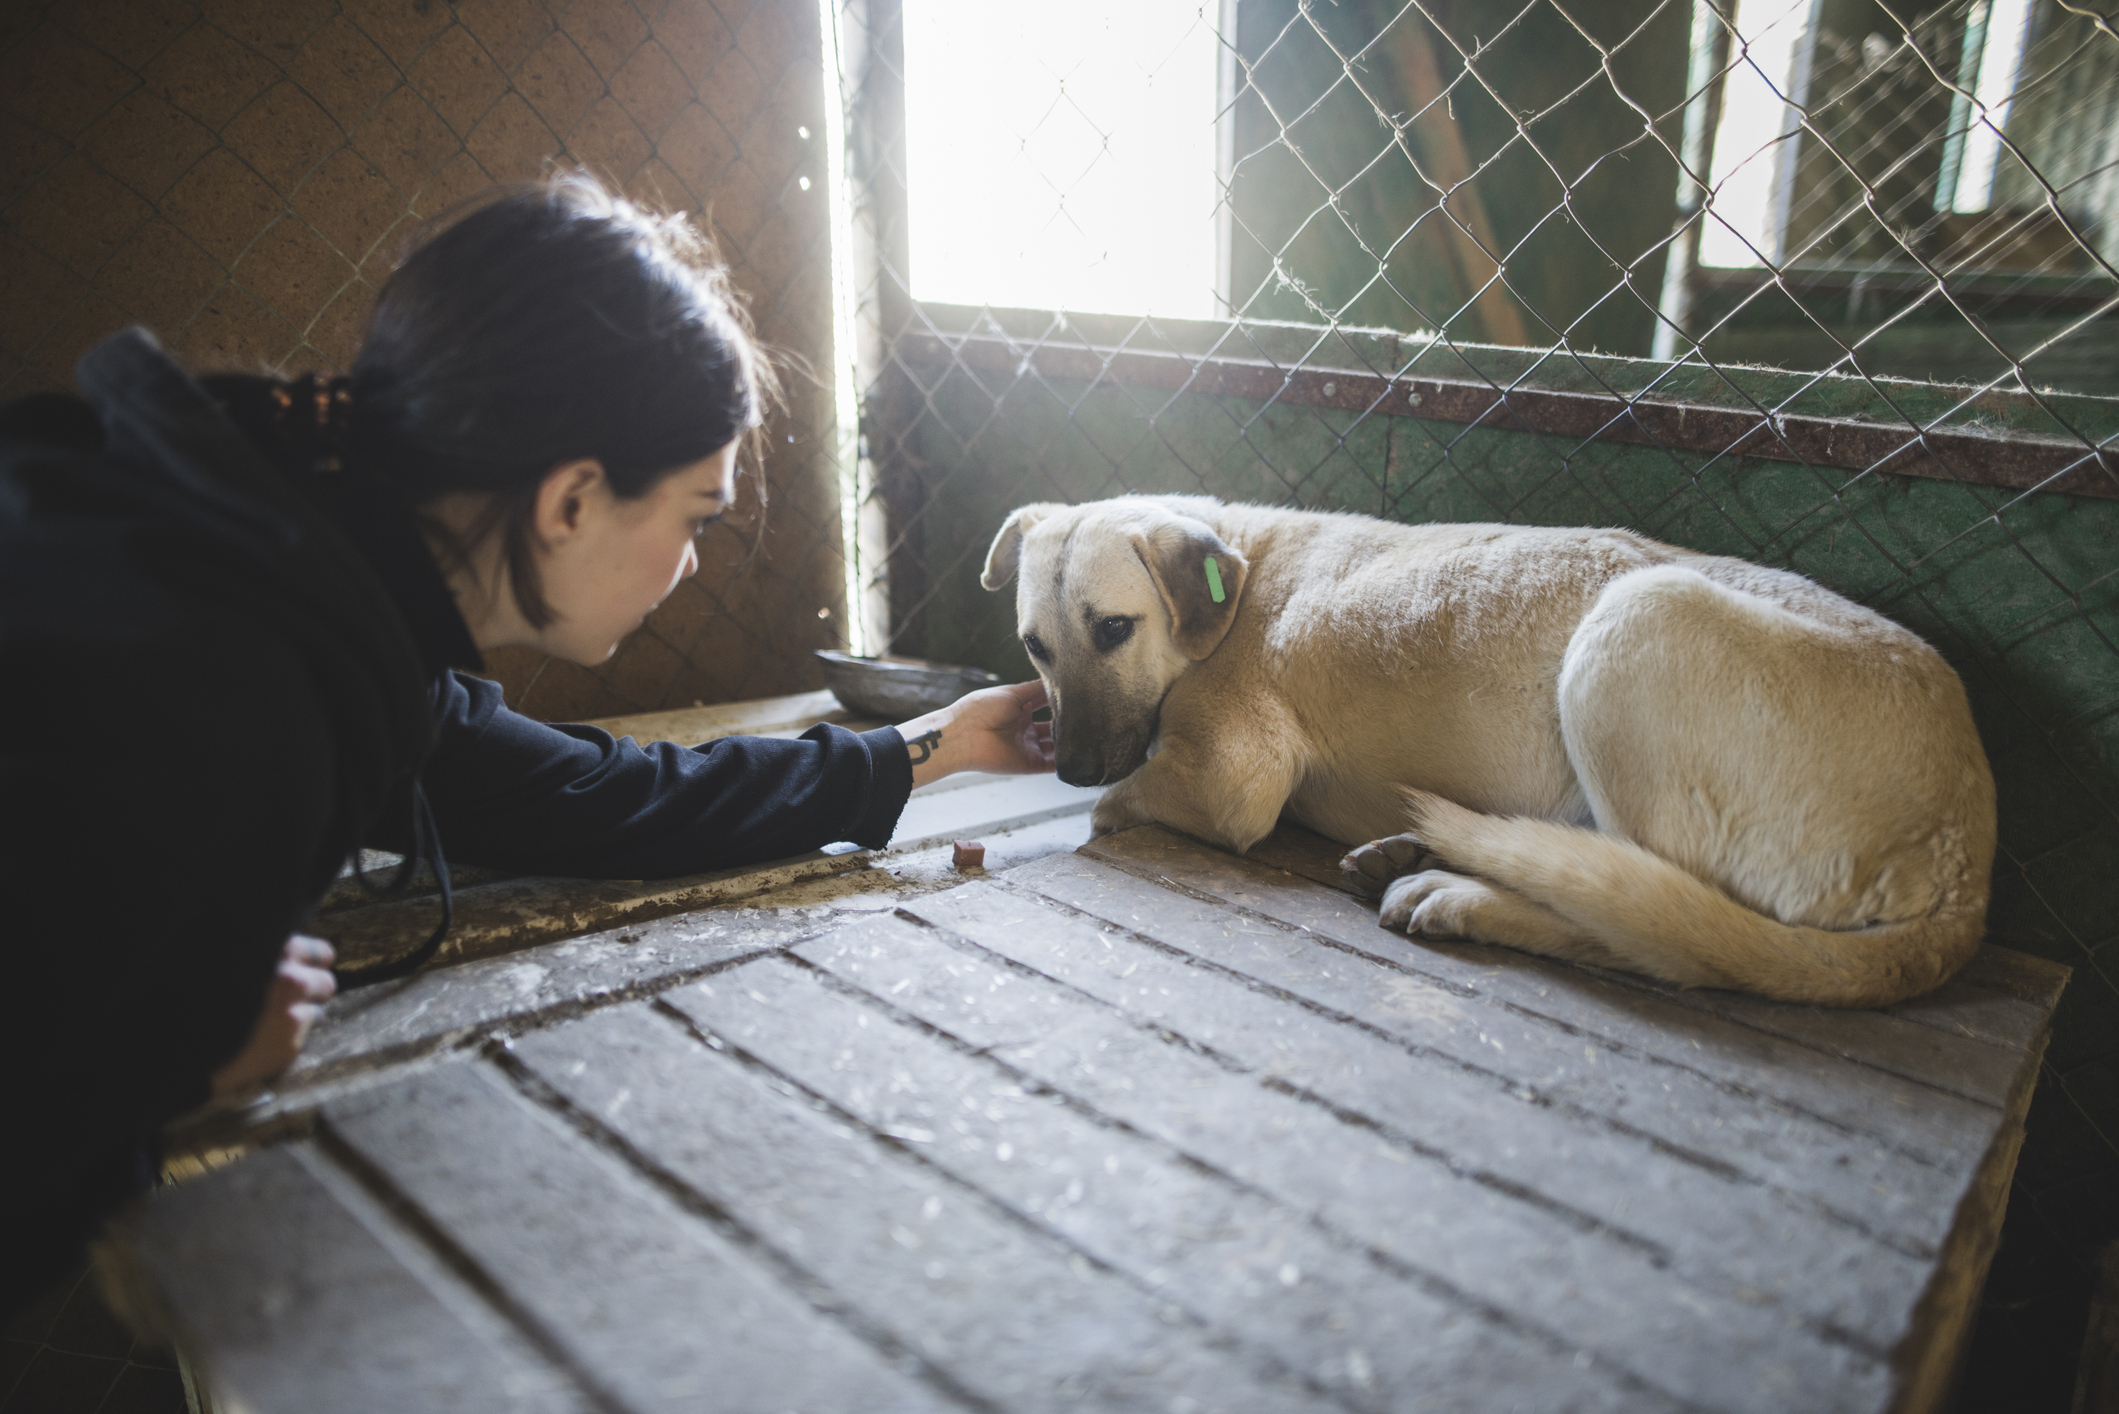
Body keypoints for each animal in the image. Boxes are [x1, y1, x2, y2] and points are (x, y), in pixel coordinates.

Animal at [983, 498, 1991, 1004]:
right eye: (1035, 646)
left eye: (1113, 629)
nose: (1067, 767)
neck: (1235, 574)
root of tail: (1966, 860)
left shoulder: (1233, 779)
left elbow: (1116, 806)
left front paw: (1097, 802)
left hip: (1637, 622)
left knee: (1651, 929)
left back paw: (1458, 893)